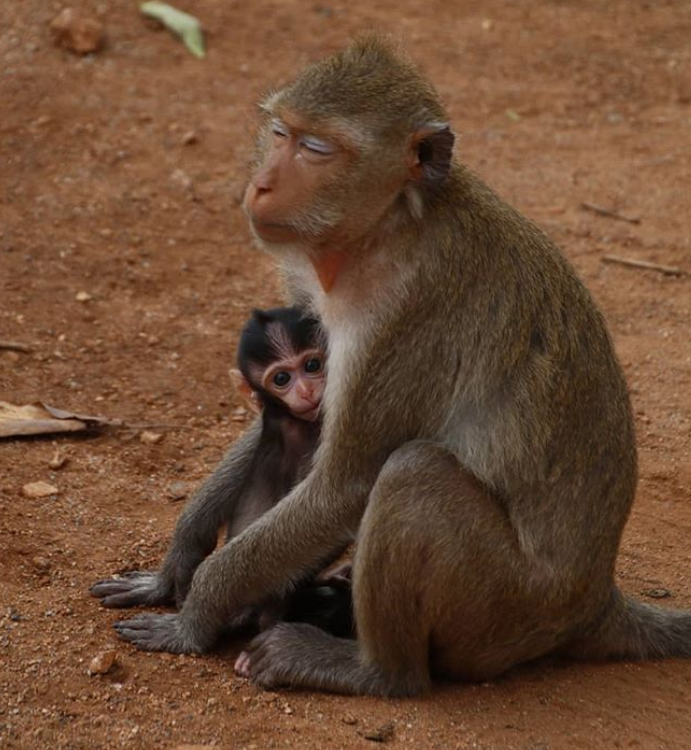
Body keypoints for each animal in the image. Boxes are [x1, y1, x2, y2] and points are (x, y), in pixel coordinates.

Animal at [93, 36, 691, 700]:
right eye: (279, 132)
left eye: (317, 149)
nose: (263, 185)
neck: (387, 229)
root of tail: (595, 599)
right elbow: (284, 424)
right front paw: (176, 566)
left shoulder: (413, 317)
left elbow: (344, 487)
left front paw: (194, 616)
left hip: (506, 610)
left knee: (412, 474)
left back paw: (373, 670)